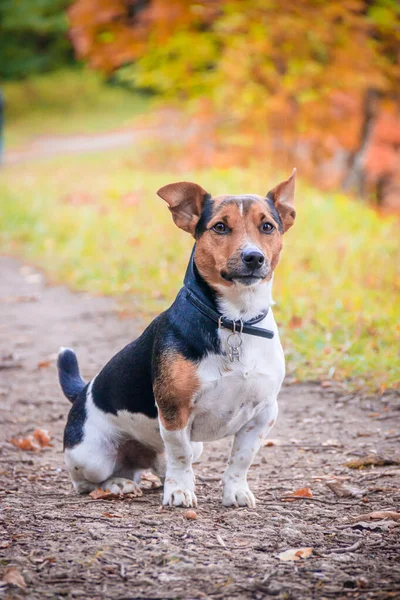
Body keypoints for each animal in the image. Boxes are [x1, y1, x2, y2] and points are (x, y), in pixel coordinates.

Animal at [58, 169, 296, 506]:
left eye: (267, 227)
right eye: (220, 227)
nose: (253, 257)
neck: (236, 320)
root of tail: (82, 392)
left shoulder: (263, 414)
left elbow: (241, 458)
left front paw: (235, 490)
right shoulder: (175, 410)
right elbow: (179, 454)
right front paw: (181, 491)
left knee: (159, 465)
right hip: (90, 456)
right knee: (87, 481)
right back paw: (117, 485)